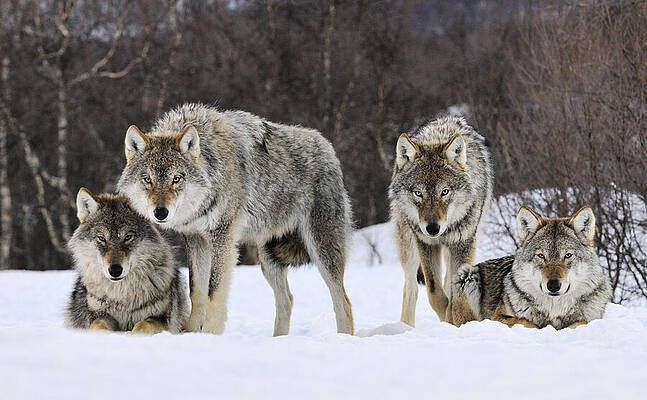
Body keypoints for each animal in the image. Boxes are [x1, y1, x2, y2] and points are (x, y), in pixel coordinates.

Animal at [65, 188, 188, 334]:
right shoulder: (98, 315)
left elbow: (143, 325)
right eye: (101, 238)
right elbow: (98, 325)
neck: (122, 296)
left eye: (128, 237)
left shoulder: (162, 319)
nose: (115, 270)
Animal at [118, 103, 353, 336]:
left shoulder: (222, 239)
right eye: (147, 179)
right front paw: (191, 332)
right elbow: (197, 292)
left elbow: (213, 294)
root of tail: (327, 146)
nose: (160, 212)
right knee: (287, 300)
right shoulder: (196, 239)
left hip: (321, 251)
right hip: (268, 258)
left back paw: (343, 337)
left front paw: (210, 334)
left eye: (176, 179)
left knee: (343, 302)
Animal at [389, 116, 492, 326]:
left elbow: (455, 293)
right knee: (411, 288)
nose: (432, 228)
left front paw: (455, 321)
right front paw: (446, 318)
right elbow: (434, 293)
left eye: (445, 192)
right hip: (409, 247)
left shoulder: (463, 243)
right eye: (418, 193)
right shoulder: (426, 243)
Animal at [453, 206, 612, 329]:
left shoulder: (593, 318)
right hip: (467, 275)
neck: (554, 309)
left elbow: (582, 322)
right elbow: (526, 322)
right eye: (541, 256)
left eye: (567, 255)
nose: (553, 285)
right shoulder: (498, 317)